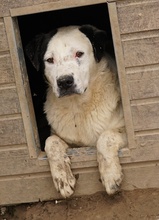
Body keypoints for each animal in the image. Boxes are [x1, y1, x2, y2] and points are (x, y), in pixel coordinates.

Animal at [25, 24, 126, 199]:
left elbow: (106, 137)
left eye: (79, 53)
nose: (65, 81)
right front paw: (63, 177)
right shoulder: (64, 139)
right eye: (49, 60)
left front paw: (110, 176)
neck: (78, 108)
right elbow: (51, 142)